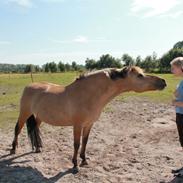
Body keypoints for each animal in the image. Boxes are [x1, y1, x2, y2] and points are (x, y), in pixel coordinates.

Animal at [10, 66, 167, 171]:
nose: (163, 81)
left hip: (39, 116)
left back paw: (37, 148)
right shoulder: (77, 125)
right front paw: (74, 165)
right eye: (140, 75)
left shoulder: (89, 124)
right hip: (24, 112)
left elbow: (85, 142)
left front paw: (84, 160)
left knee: (35, 129)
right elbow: (76, 144)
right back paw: (13, 150)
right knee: (17, 129)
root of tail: (29, 85)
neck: (87, 95)